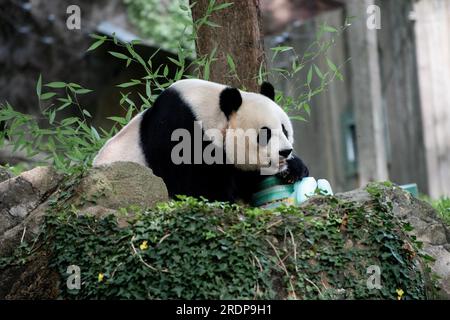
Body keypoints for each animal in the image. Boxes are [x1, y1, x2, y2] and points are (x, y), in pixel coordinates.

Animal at [92, 79, 308, 202]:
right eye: (264, 134)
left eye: (284, 129)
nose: (285, 151)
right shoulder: (179, 132)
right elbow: (196, 188)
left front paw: (294, 169)